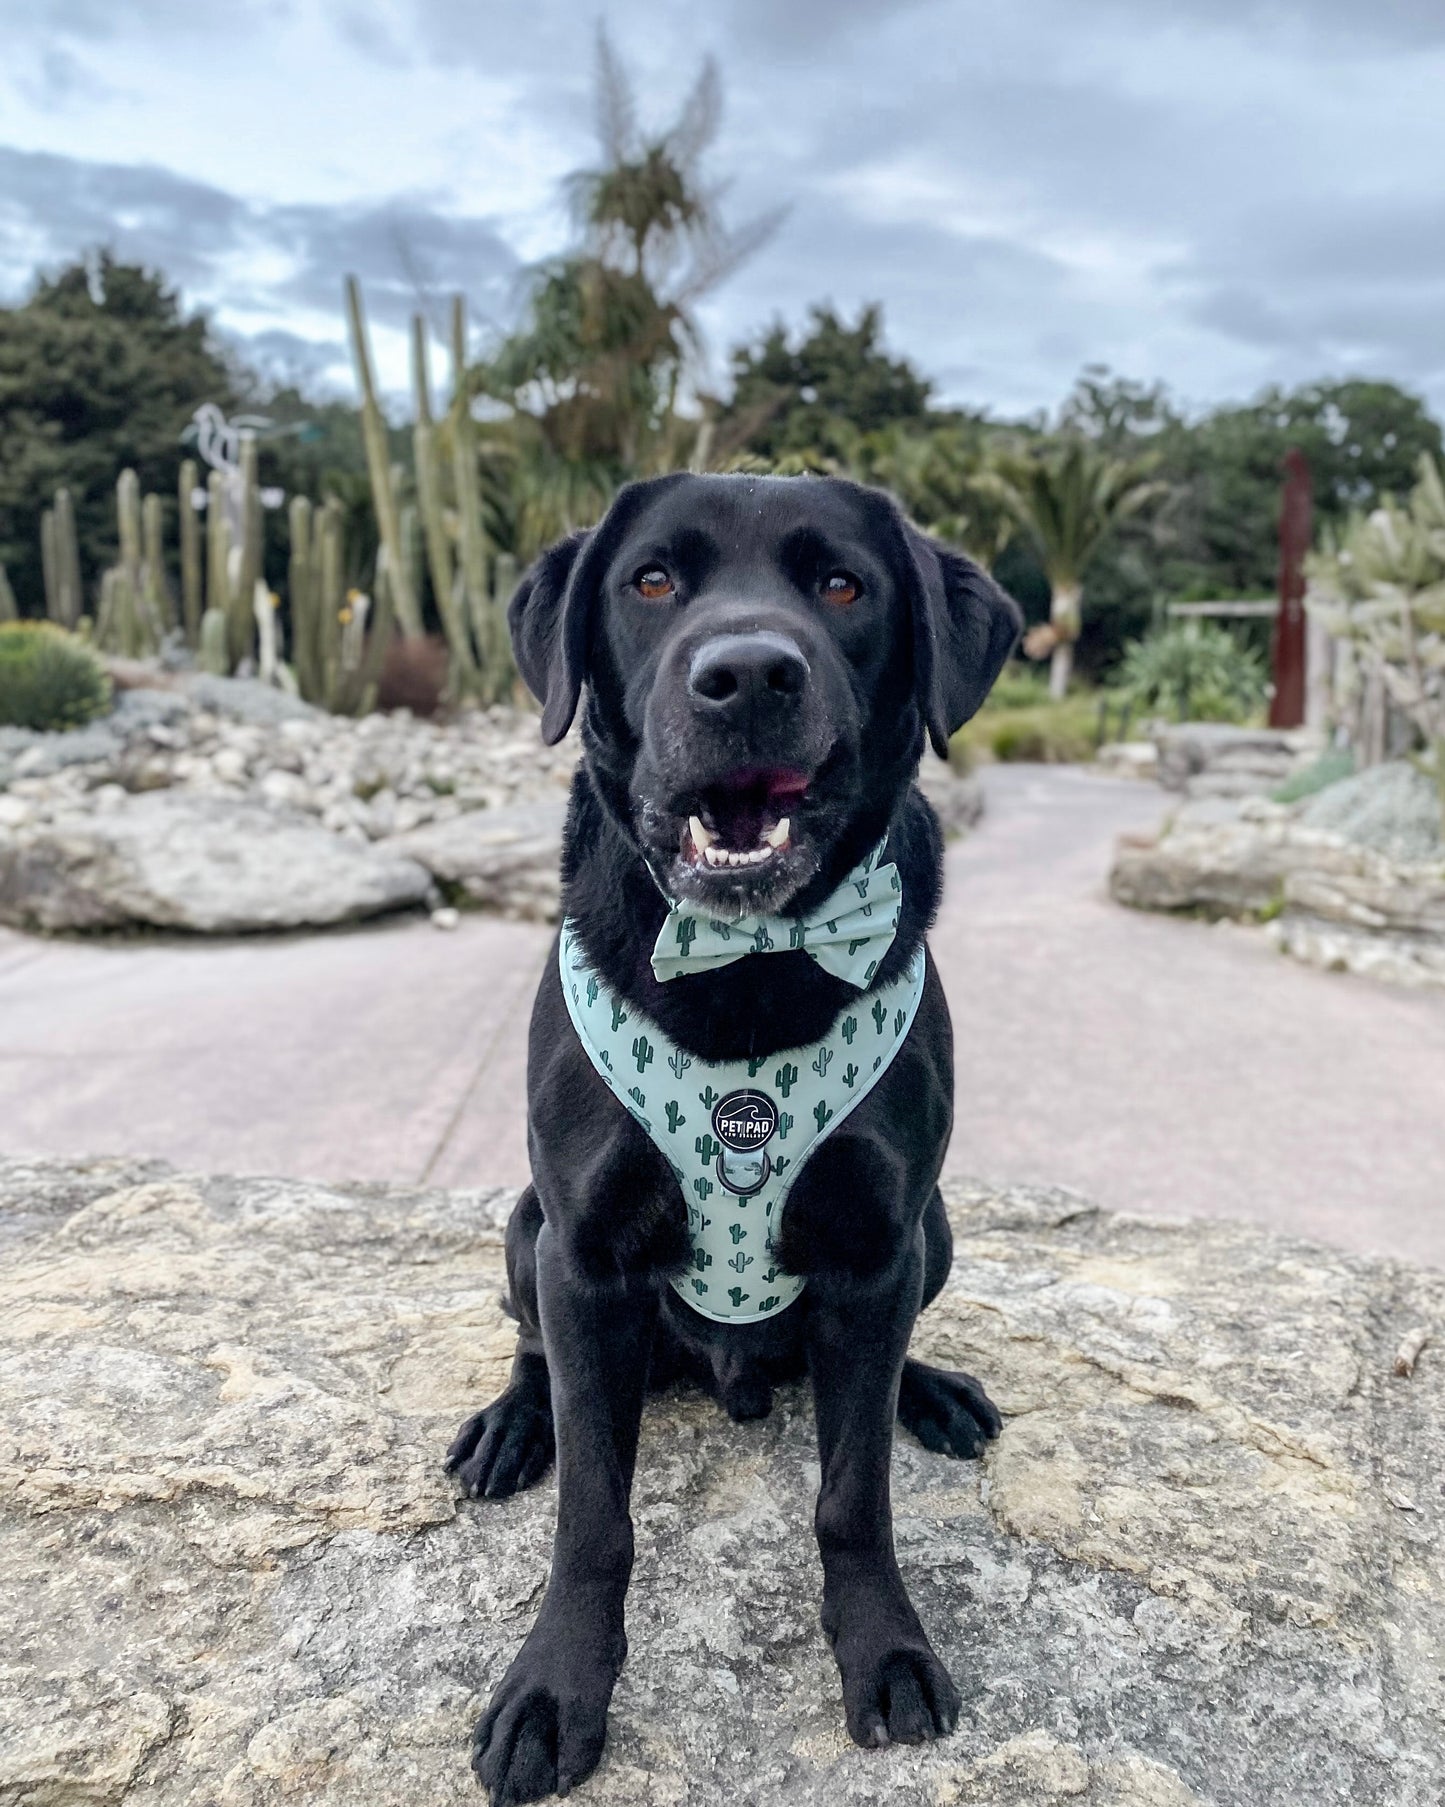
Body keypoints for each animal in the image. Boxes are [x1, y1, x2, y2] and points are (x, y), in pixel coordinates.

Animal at [446, 473, 1018, 1799]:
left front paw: (884, 1649)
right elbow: (594, 1519)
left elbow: (852, 1498)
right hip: (522, 1229)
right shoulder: (582, 1254)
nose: (747, 674)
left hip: (935, 1232)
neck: (747, 965)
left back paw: (929, 1391)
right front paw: (553, 1688)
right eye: (651, 579)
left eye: (844, 585)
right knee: (535, 1352)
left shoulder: (877, 1244)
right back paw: (511, 1426)